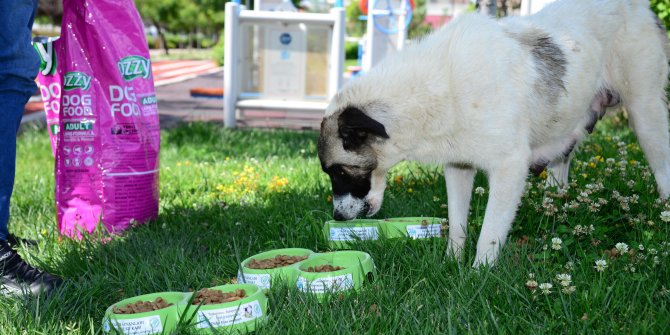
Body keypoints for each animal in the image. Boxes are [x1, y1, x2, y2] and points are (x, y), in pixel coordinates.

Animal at [320, 0, 670, 268]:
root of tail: (640, 7)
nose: (337, 216)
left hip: (646, 113)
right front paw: (451, 262)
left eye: (339, 171)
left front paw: (479, 274)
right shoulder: (458, 168)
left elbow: (489, 232)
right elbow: (457, 224)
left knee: (662, 169)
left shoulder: (509, 168)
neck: (438, 86)